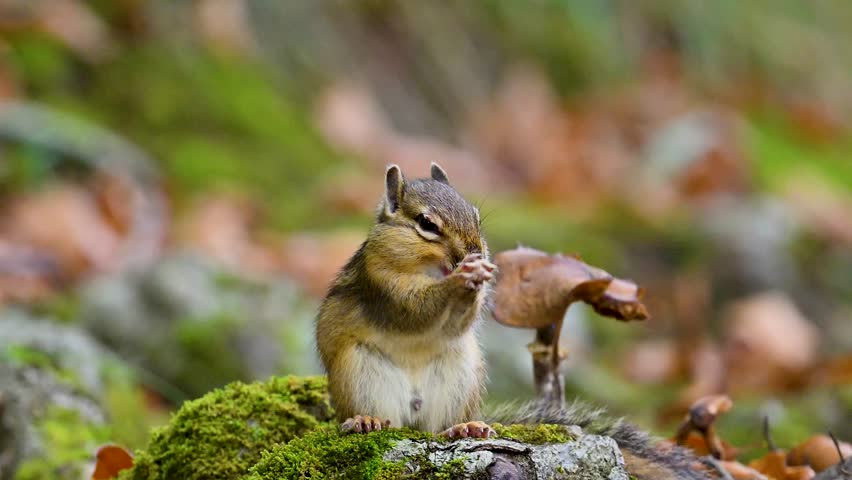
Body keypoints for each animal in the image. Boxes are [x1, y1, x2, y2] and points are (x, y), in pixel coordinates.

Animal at [315, 163, 711, 480]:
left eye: (476, 216)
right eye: (427, 224)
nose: (475, 252)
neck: (426, 269)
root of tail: (413, 421)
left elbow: (455, 324)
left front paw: (480, 281)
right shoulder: (382, 283)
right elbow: (414, 309)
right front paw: (460, 280)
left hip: (461, 373)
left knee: (438, 428)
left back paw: (464, 429)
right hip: (359, 371)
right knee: (377, 417)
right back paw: (365, 420)